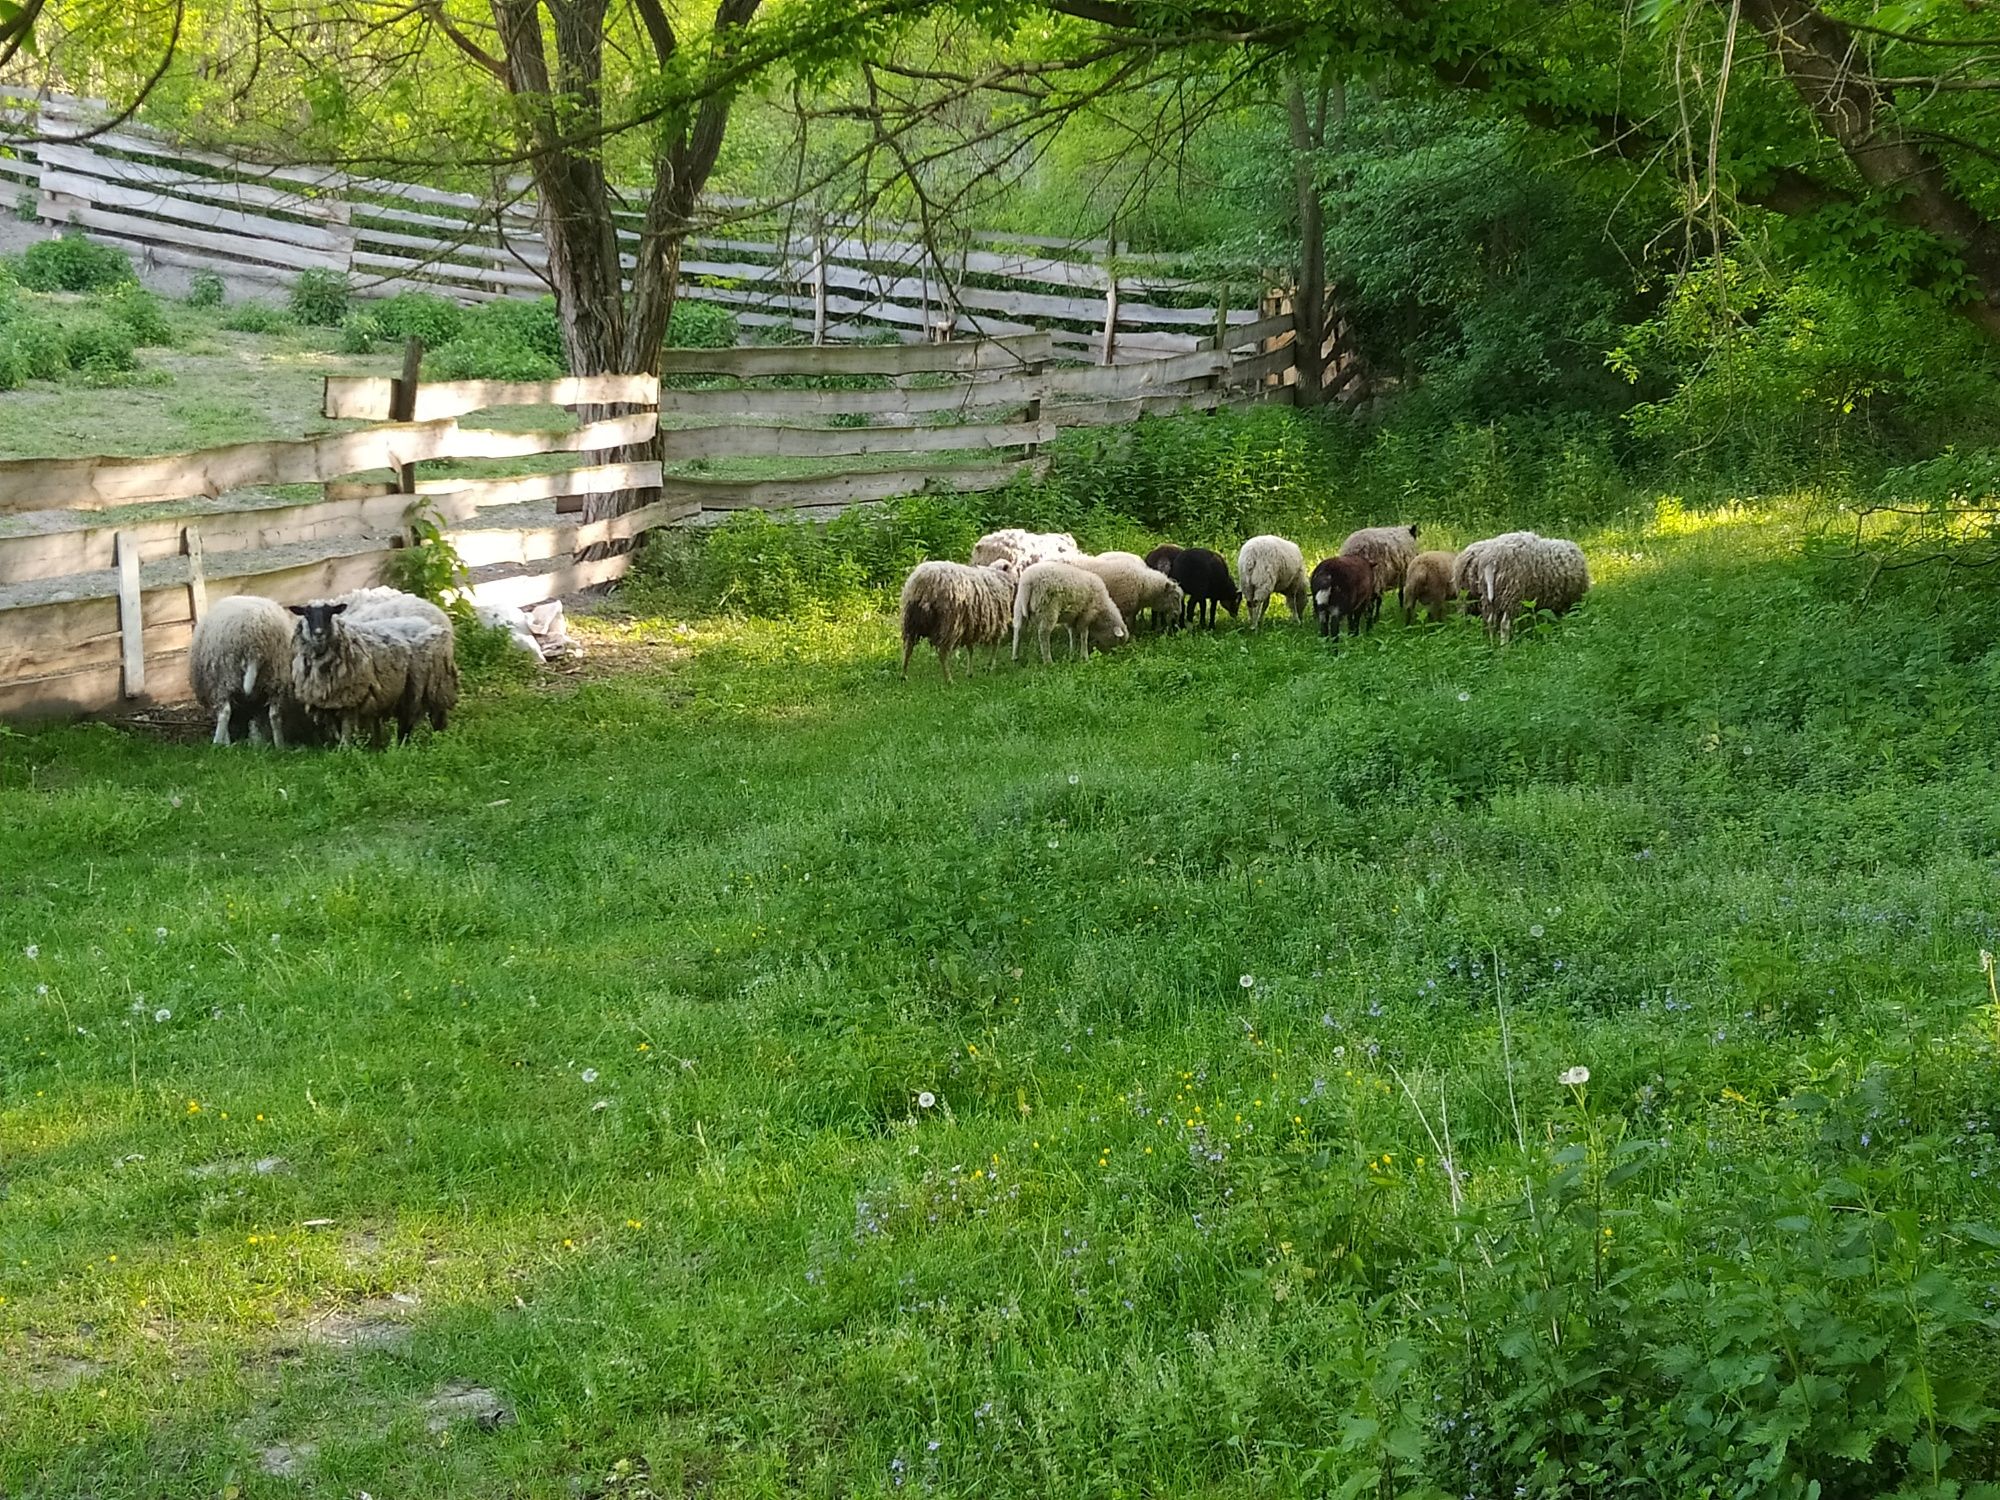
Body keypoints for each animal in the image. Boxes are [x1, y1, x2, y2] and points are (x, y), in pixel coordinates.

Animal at [188, 592, 294, 748]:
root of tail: (256, 645)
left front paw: (226, 740)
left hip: (224, 675)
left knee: (225, 712)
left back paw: (218, 744)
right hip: (277, 675)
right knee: (275, 715)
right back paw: (280, 745)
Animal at [290, 604, 450, 748]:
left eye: (329, 613)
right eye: (307, 614)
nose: (319, 633)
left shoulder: (350, 698)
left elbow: (346, 732)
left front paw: (345, 751)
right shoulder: (330, 703)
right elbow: (337, 732)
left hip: (434, 683)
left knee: (434, 717)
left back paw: (437, 740)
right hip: (407, 690)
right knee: (406, 720)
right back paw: (401, 744)